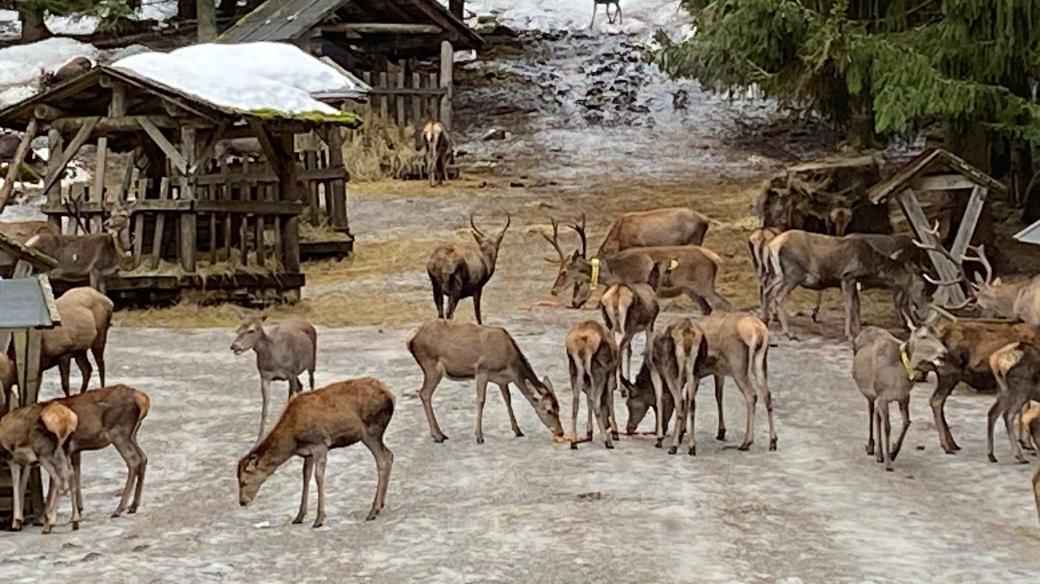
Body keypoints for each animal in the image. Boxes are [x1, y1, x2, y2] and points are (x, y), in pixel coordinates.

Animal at [0, 399, 76, 532]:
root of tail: (66, 419)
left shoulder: (12, 458)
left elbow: (15, 484)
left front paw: (16, 522)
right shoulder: (27, 463)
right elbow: (22, 486)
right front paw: (19, 521)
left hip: (45, 455)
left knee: (59, 481)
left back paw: (49, 525)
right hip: (64, 451)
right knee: (70, 474)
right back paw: (75, 520)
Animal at [238, 374, 395, 525]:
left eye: (244, 481)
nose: (242, 502)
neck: (293, 441)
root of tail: (391, 396)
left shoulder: (320, 444)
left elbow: (319, 477)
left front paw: (319, 519)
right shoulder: (308, 453)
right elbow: (305, 476)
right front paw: (299, 517)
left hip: (370, 431)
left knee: (383, 460)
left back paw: (373, 511)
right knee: (390, 454)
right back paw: (381, 504)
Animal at [407, 317, 569, 440]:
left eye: (558, 408)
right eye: (548, 410)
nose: (560, 432)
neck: (509, 364)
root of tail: (410, 339)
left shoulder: (502, 381)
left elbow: (507, 400)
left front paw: (518, 431)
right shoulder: (482, 370)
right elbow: (481, 400)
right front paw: (479, 436)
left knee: (424, 393)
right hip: (431, 366)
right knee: (424, 393)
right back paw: (438, 435)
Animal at [848, 324, 948, 469]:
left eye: (939, 336)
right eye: (923, 336)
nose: (945, 353)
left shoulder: (904, 396)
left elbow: (907, 422)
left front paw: (893, 452)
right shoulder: (882, 395)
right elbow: (887, 426)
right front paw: (889, 462)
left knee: (877, 415)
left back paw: (879, 453)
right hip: (871, 393)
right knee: (872, 411)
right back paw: (872, 447)